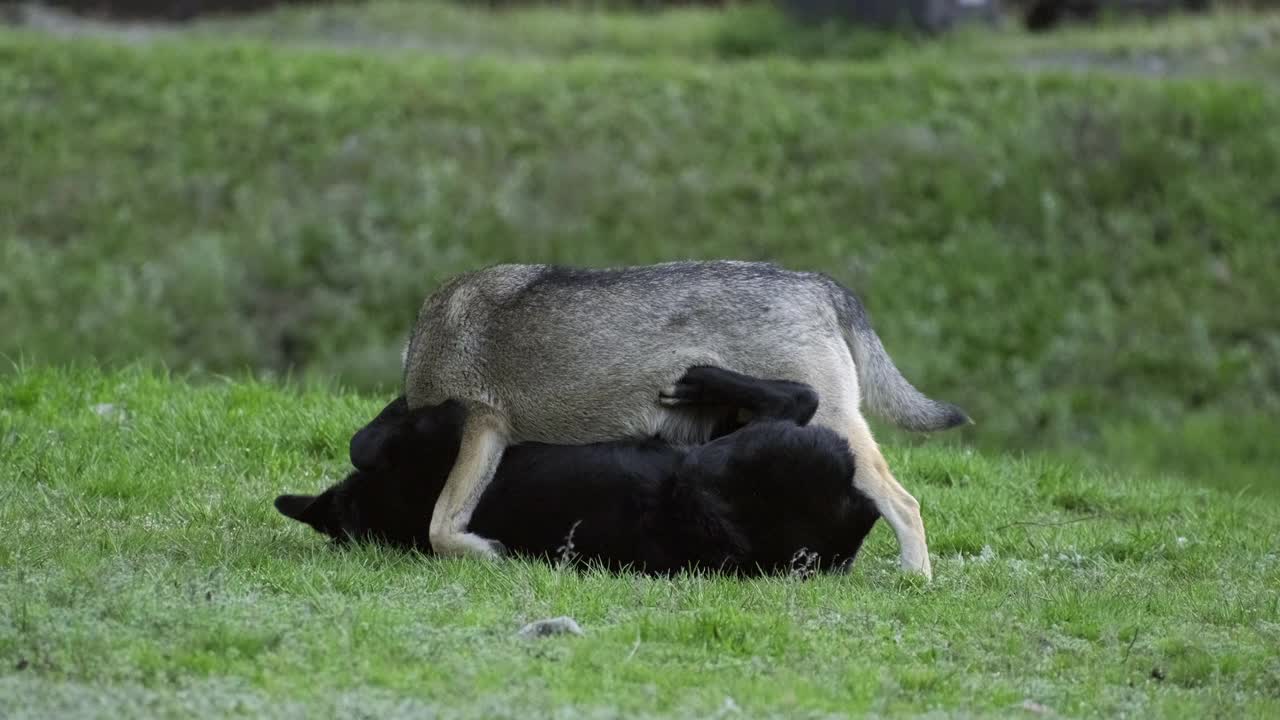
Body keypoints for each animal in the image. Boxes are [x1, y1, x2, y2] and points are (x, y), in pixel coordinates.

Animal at [404, 257, 962, 576]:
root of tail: (818, 285)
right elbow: (442, 525)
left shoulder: (483, 426)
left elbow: (437, 528)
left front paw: (484, 551)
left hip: (833, 428)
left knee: (906, 504)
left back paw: (915, 579)